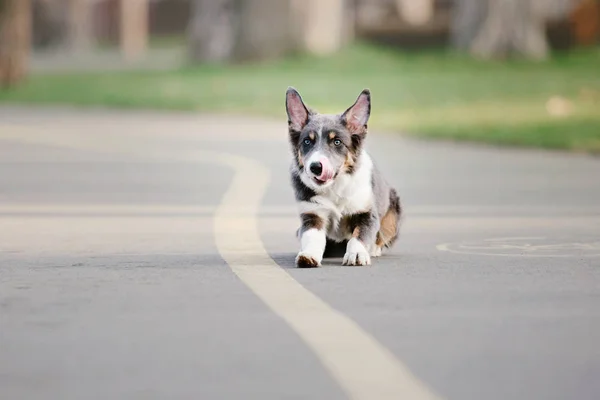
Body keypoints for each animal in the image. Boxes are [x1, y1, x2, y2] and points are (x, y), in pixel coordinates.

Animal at [286, 88, 404, 268]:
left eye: (337, 142)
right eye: (307, 141)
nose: (315, 167)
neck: (335, 186)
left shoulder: (367, 213)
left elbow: (359, 236)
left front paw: (357, 254)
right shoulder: (312, 214)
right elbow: (312, 236)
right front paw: (308, 255)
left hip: (392, 213)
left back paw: (373, 250)